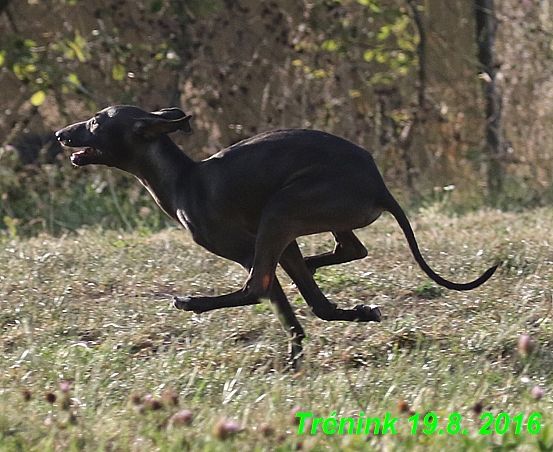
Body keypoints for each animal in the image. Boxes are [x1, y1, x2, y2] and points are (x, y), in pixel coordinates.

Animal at [56, 107, 496, 368]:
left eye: (95, 122)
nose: (60, 134)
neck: (184, 180)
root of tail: (379, 185)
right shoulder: (281, 246)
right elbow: (303, 308)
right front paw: (300, 353)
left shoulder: (248, 250)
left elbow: (264, 290)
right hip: (298, 224)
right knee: (342, 259)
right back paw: (344, 298)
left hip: (282, 211)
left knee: (258, 286)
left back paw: (192, 302)